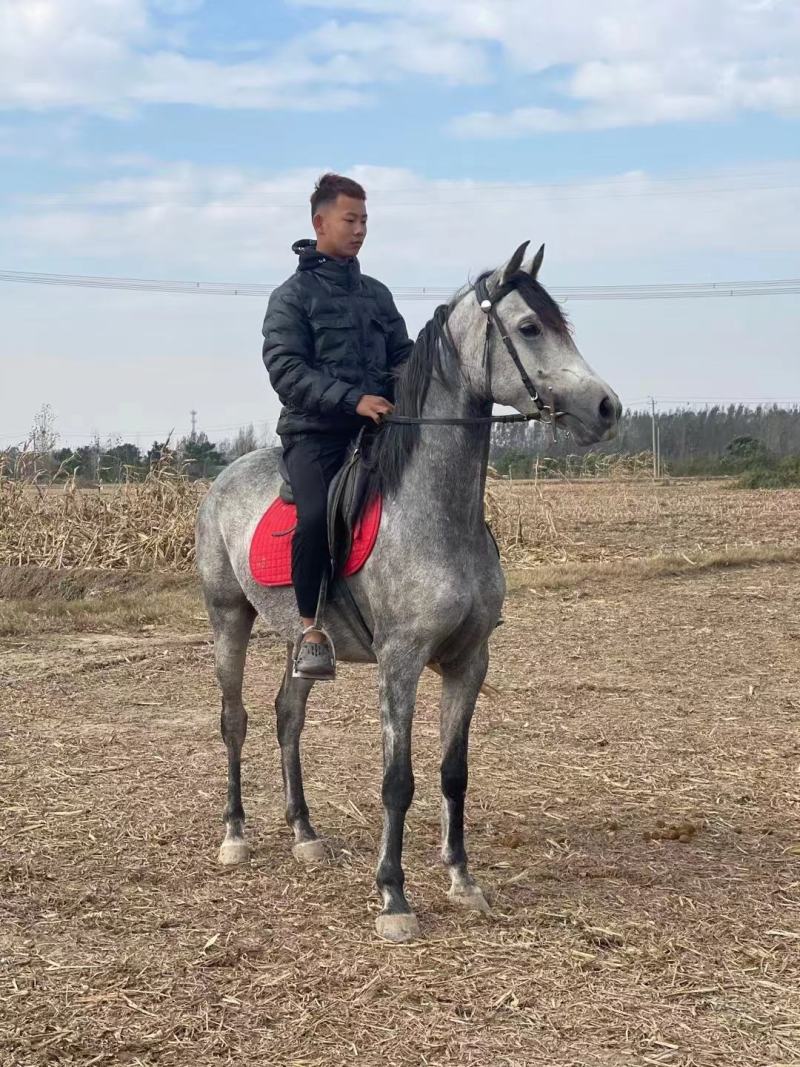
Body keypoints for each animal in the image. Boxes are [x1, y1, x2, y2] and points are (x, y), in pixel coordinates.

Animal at [195, 241, 621, 942]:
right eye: (530, 327)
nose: (607, 408)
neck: (435, 512)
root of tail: (224, 477)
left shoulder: (469, 660)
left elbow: (454, 773)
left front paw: (463, 881)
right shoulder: (400, 662)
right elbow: (398, 780)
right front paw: (393, 897)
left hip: (298, 637)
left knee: (288, 716)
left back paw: (304, 834)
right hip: (229, 616)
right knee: (235, 720)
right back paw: (234, 836)